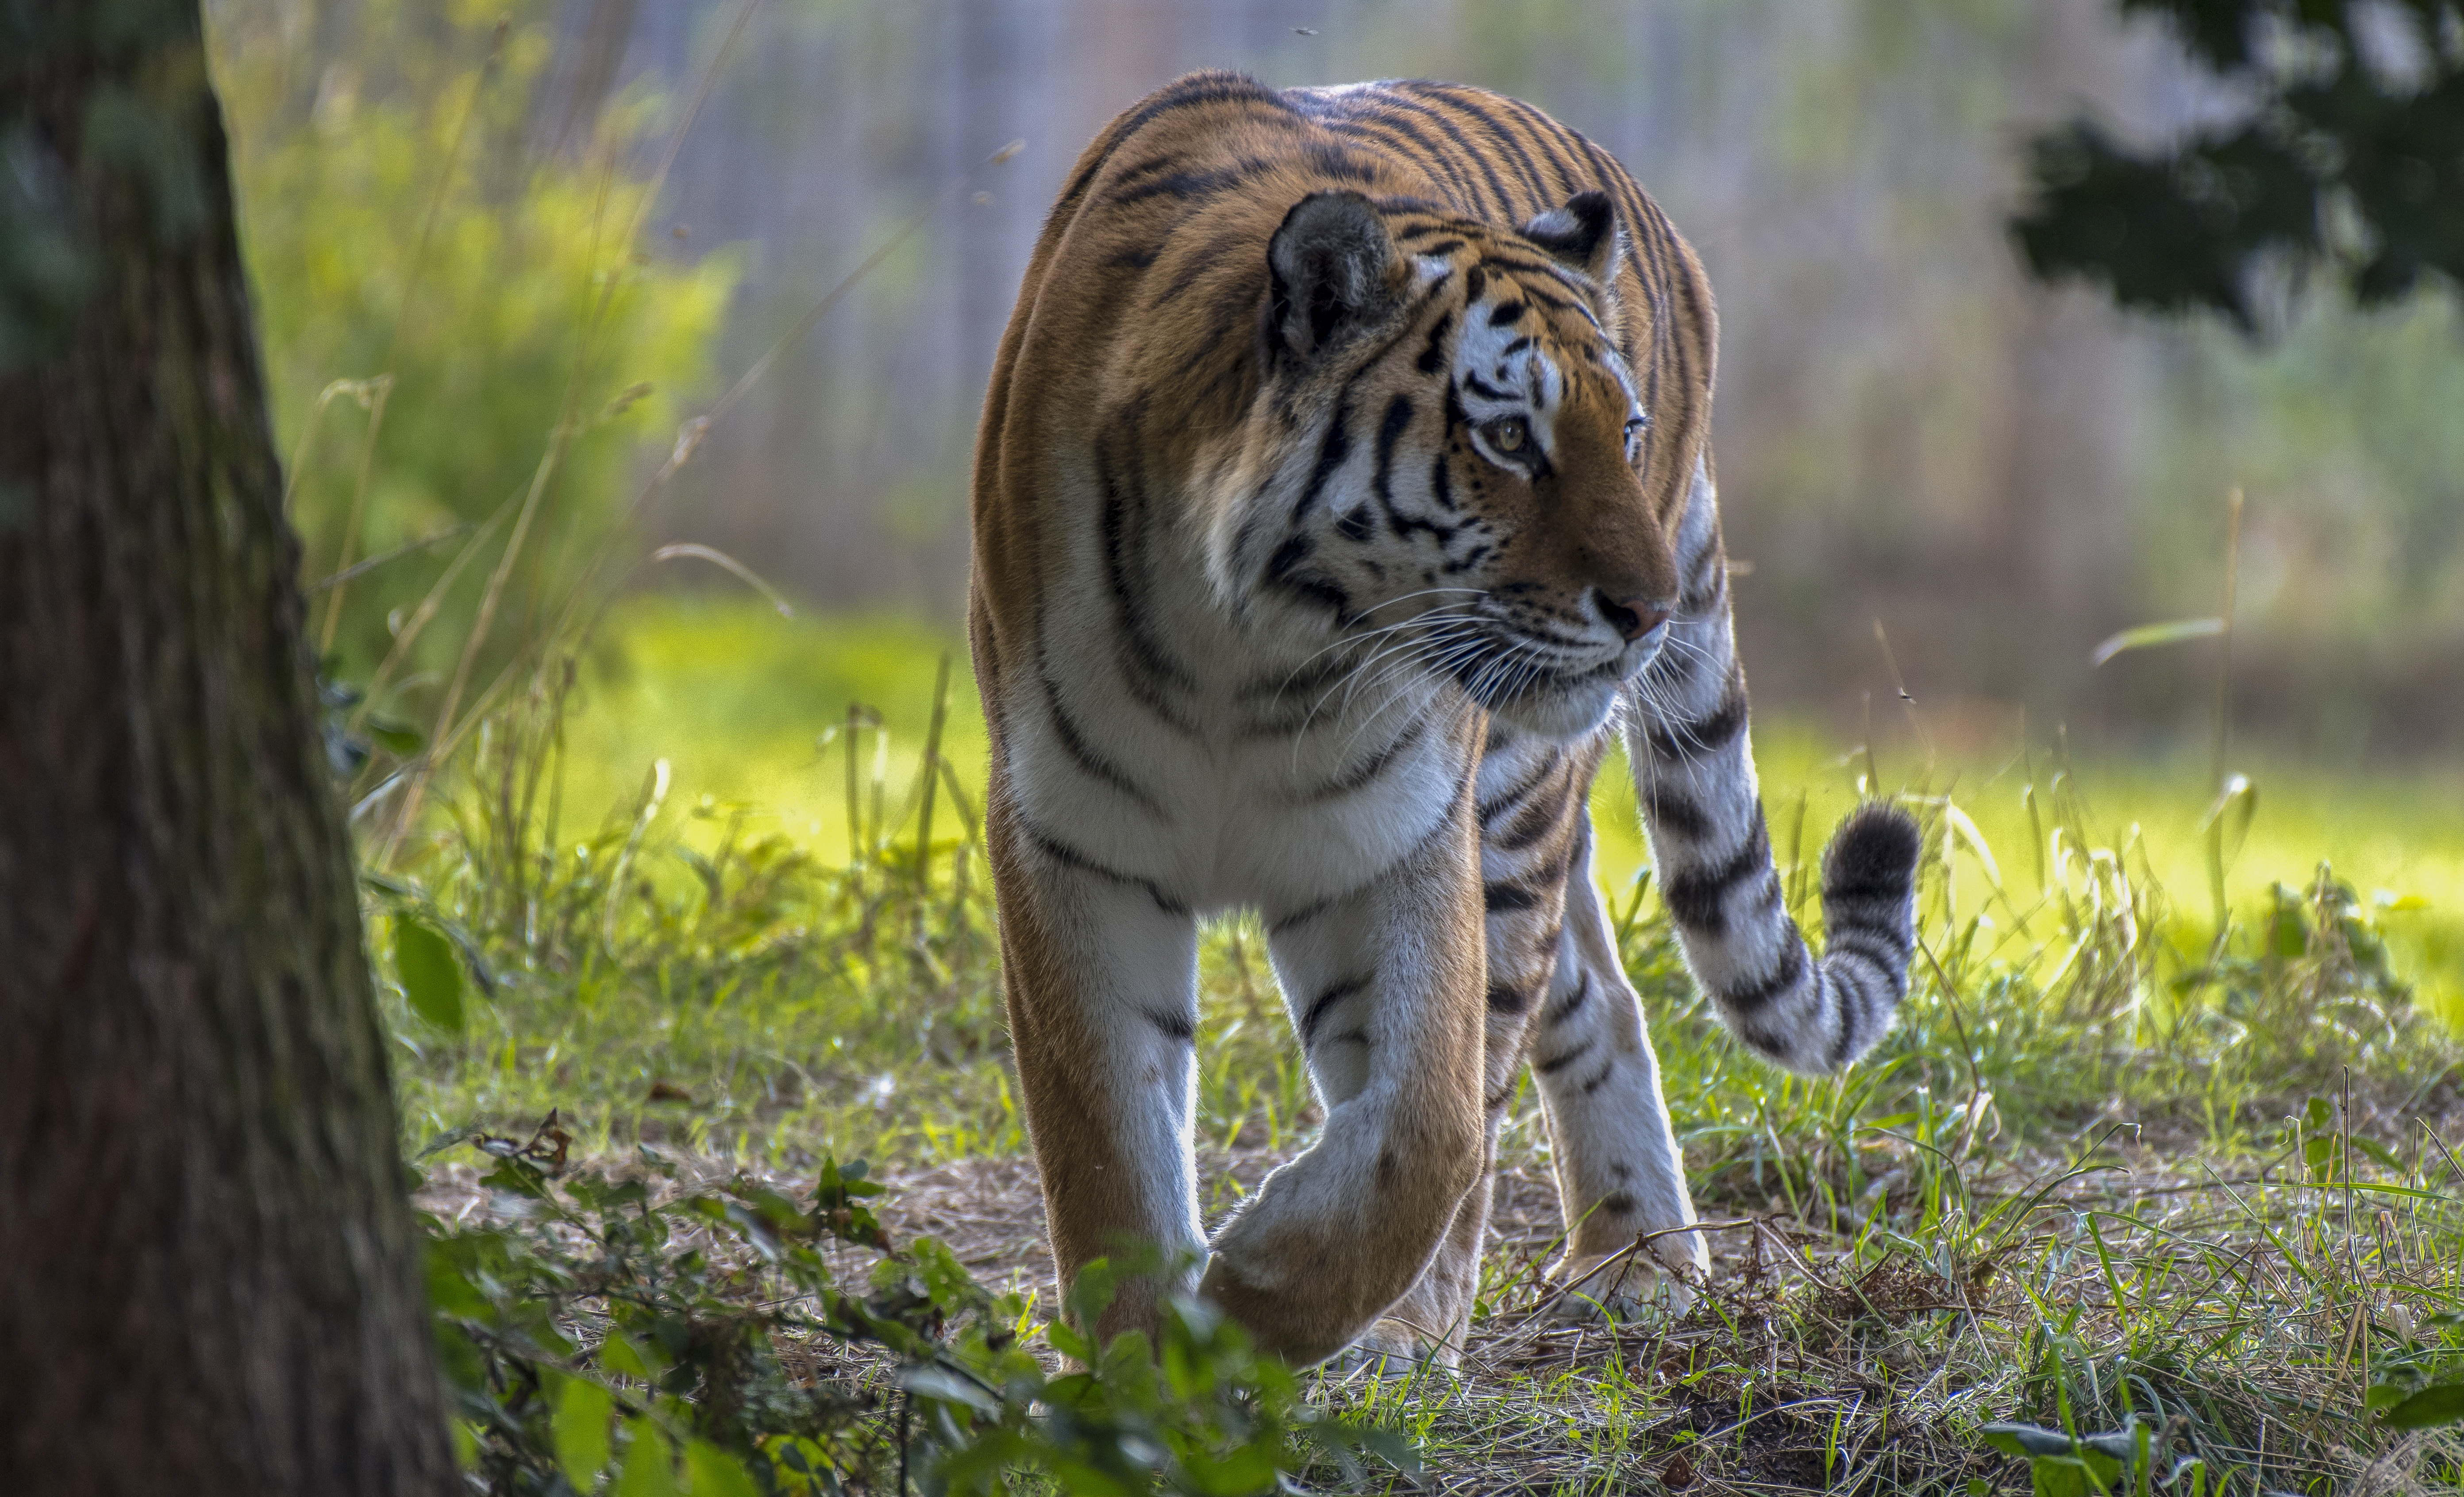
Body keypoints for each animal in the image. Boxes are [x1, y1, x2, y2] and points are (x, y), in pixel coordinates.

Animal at [966, 73, 1922, 1371]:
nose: (1646, 613)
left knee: (1527, 1031)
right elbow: (1107, 1144)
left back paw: (1489, 1305)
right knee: (1596, 997)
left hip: (1514, 808)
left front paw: (1258, 1294)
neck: (1252, 653)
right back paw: (1636, 1257)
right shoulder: (1071, 843)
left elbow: (1429, 1125)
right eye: (1508, 437)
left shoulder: (1397, 840)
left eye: (1623, 433)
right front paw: (1145, 1366)